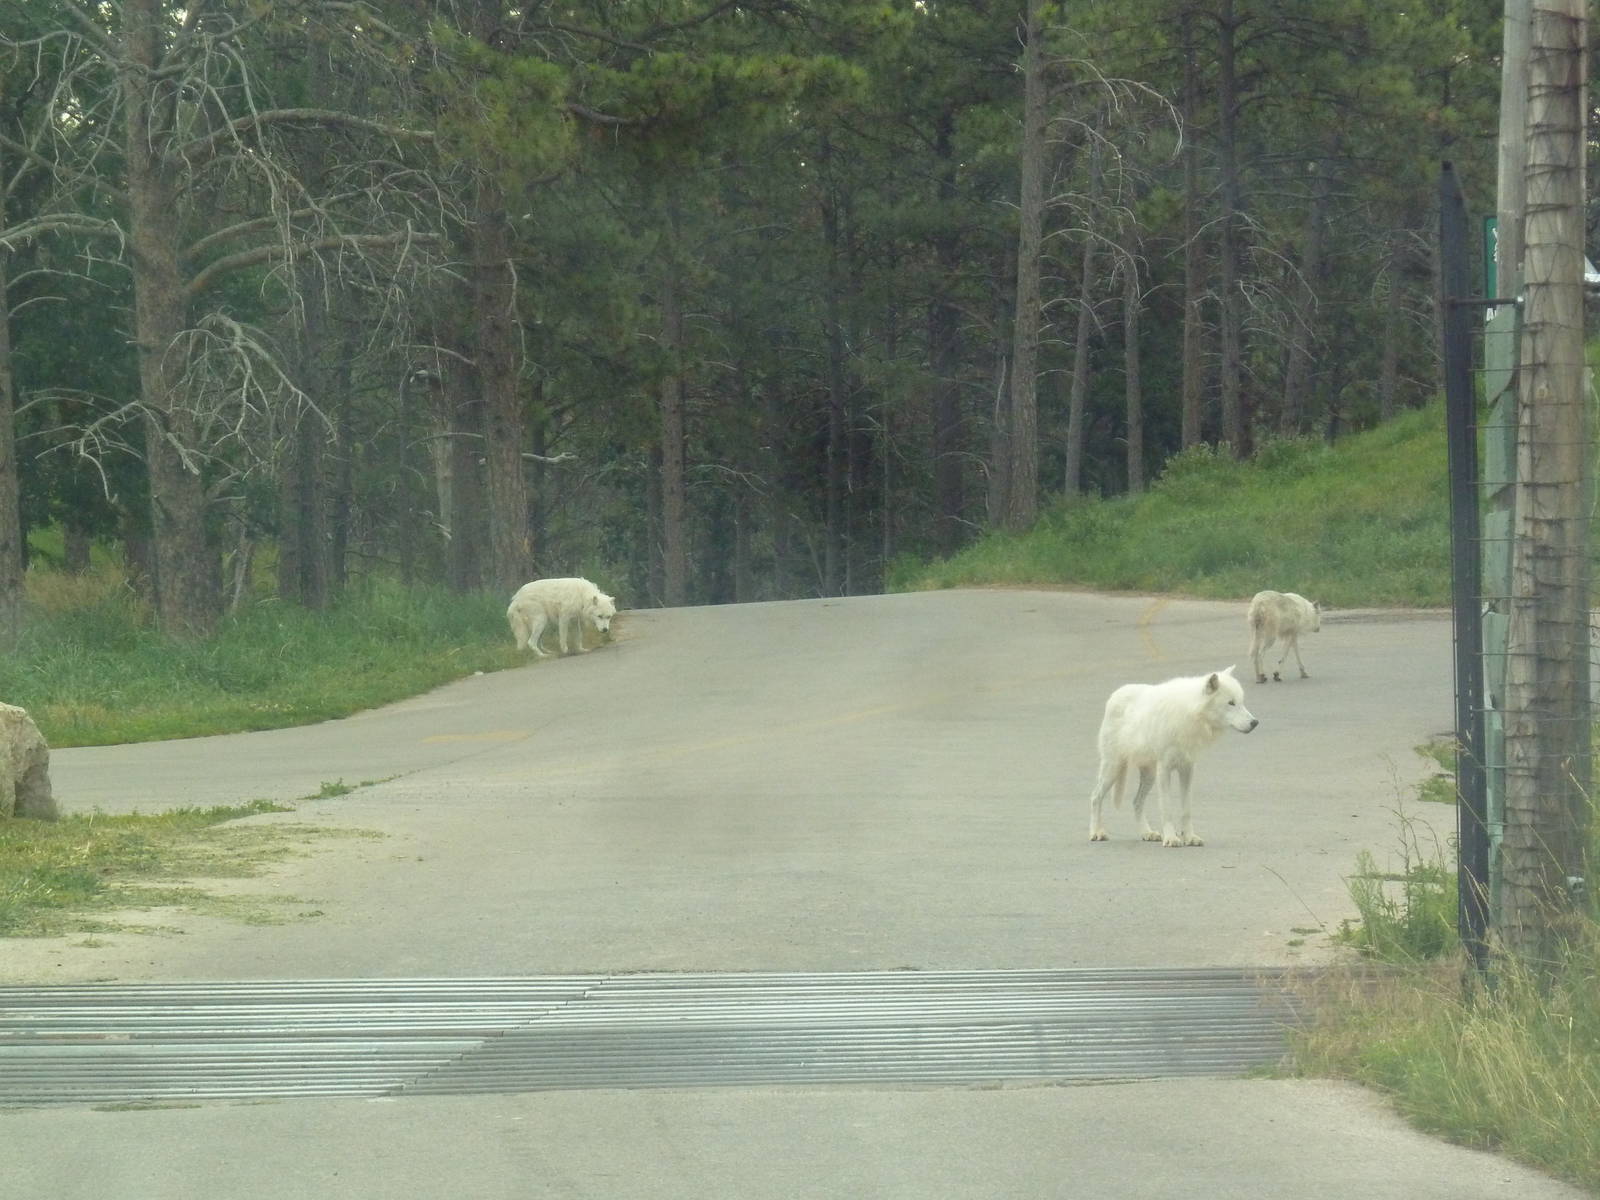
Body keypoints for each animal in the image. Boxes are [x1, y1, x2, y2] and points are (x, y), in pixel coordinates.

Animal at [1087, 666, 1258, 847]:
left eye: (1241, 702)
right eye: (1231, 703)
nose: (1255, 723)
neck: (1190, 714)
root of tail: (1116, 694)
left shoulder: (1187, 770)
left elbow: (1186, 810)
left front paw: (1189, 837)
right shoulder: (1165, 769)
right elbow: (1167, 809)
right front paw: (1171, 838)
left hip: (1149, 776)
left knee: (1136, 802)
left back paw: (1147, 833)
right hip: (1113, 768)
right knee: (1095, 797)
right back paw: (1096, 833)